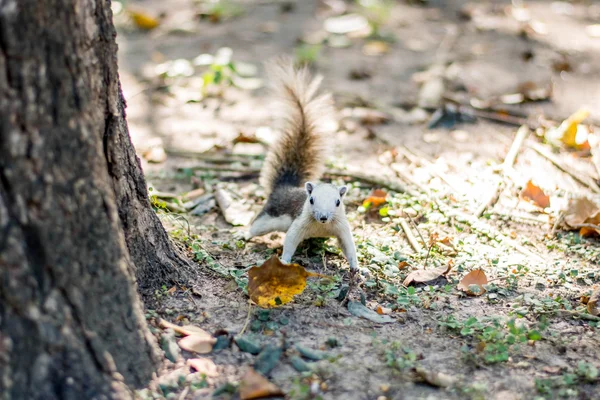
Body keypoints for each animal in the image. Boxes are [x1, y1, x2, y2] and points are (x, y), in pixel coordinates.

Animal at [244, 59, 356, 270]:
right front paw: (284, 261)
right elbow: (290, 241)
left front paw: (356, 267)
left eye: (338, 202)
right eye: (311, 200)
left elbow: (349, 246)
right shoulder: (298, 224)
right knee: (255, 226)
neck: (321, 227)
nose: (323, 217)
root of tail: (283, 188)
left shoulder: (342, 227)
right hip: (269, 216)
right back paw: (243, 234)